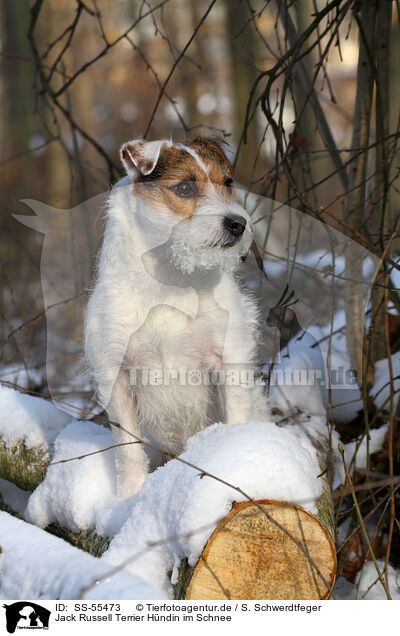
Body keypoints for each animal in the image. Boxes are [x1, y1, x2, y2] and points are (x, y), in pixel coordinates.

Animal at [84, 138, 268, 496]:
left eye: (228, 183)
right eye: (184, 187)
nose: (238, 223)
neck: (169, 280)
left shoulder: (230, 362)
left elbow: (236, 417)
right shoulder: (116, 377)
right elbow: (128, 450)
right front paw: (128, 497)